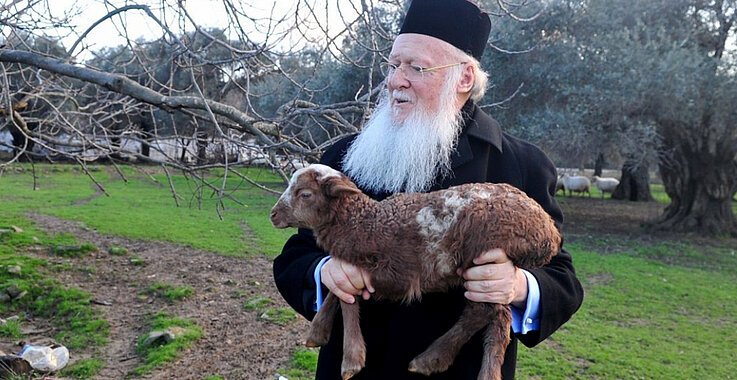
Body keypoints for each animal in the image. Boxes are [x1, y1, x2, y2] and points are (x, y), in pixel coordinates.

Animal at [270, 163, 564, 380]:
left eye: (305, 194)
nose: (273, 215)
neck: (361, 222)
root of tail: (548, 232)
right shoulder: (354, 267)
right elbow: (335, 292)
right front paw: (317, 333)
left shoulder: (390, 274)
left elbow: (348, 303)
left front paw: (351, 361)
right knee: (492, 316)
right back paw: (434, 360)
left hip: (484, 257)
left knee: (489, 315)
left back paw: (438, 362)